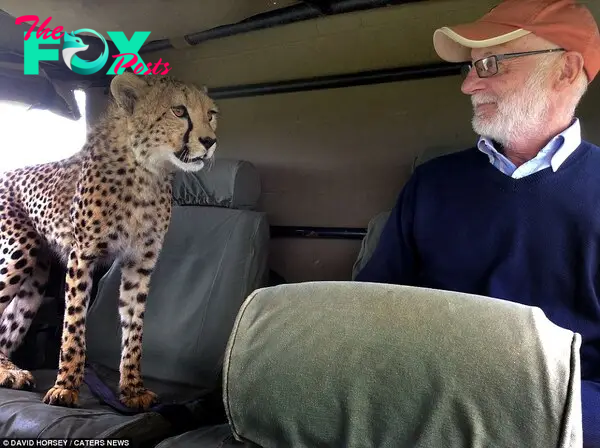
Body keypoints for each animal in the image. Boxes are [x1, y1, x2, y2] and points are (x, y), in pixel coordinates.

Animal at [0, 71, 218, 410]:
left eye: (211, 114)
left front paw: (133, 389)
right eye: (179, 111)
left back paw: (10, 371)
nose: (210, 141)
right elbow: (74, 323)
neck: (147, 171)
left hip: (34, 282)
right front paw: (65, 386)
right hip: (18, 253)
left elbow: (134, 327)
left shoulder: (139, 263)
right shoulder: (82, 255)